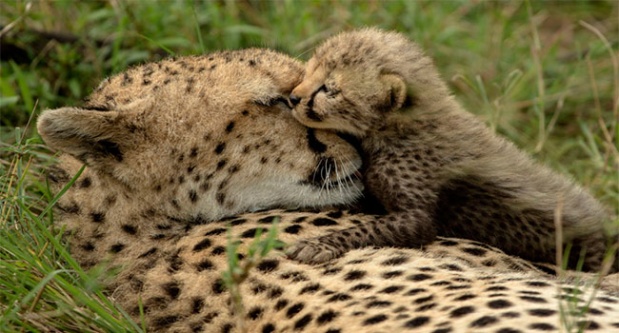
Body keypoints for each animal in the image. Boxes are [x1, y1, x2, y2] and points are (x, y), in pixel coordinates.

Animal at [288, 27, 616, 272]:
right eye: (310, 70)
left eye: (330, 90)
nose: (293, 98)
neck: (397, 130)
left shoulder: (418, 216)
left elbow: (369, 228)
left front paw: (319, 244)